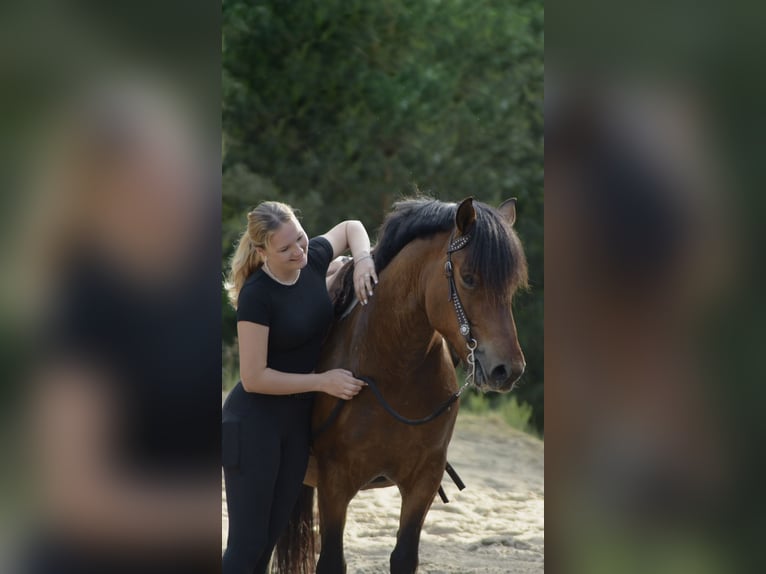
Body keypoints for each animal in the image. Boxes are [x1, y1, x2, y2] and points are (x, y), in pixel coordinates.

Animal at [280, 198, 532, 574]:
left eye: (511, 286)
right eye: (469, 278)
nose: (508, 370)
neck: (392, 371)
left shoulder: (424, 480)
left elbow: (404, 556)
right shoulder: (335, 482)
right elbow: (332, 560)